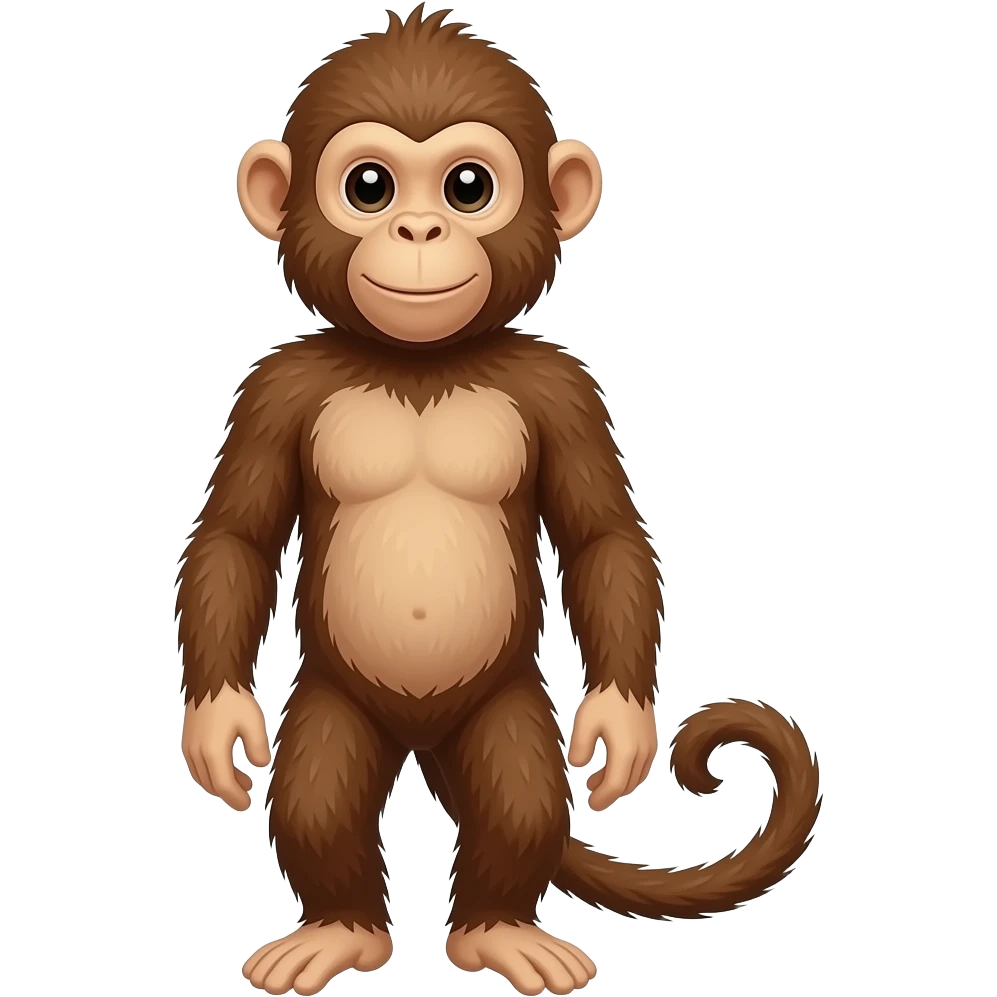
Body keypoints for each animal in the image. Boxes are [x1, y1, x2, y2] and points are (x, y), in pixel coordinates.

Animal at [176, 7, 822, 996]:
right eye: (368, 186)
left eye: (468, 185)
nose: (417, 228)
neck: (419, 365)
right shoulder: (273, 389)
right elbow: (235, 539)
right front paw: (218, 725)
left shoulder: (564, 388)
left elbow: (602, 537)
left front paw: (619, 724)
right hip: (333, 695)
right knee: (321, 788)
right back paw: (339, 929)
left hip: (507, 695)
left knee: (518, 791)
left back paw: (498, 930)